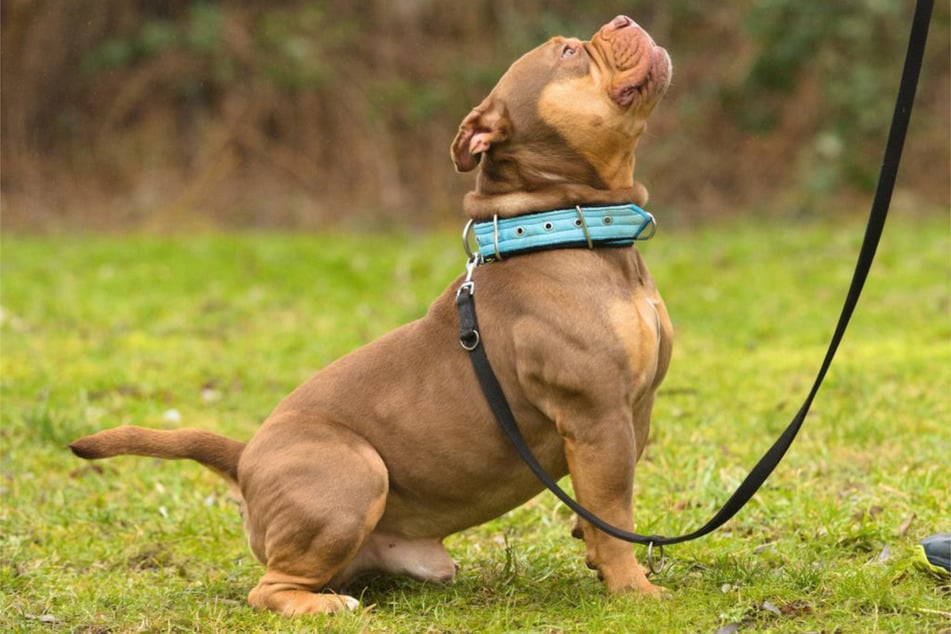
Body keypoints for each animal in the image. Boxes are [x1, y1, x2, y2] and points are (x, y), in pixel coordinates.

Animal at [70, 16, 672, 612]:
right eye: (569, 52)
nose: (622, 19)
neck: (560, 224)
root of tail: (244, 457)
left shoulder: (633, 413)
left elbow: (605, 513)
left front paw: (598, 555)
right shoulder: (598, 417)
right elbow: (615, 514)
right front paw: (634, 589)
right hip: (354, 472)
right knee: (268, 589)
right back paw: (324, 606)